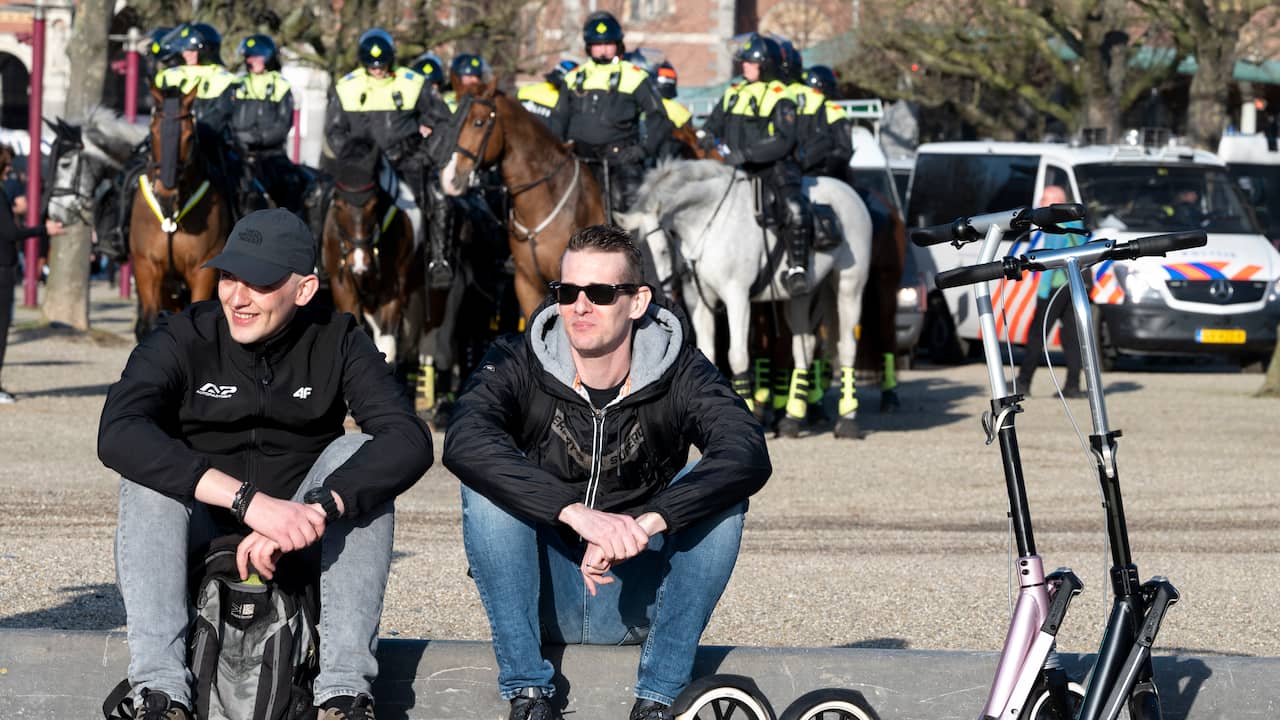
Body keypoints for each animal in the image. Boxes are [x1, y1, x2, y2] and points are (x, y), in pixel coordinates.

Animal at [129, 81, 232, 338]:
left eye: (188, 136)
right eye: (153, 132)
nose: (166, 195)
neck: (172, 217)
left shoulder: (203, 271)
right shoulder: (147, 268)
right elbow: (151, 323)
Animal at [320, 137, 424, 366]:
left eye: (374, 204)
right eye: (338, 204)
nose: (360, 263)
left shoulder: (394, 291)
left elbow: (387, 346)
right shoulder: (343, 287)